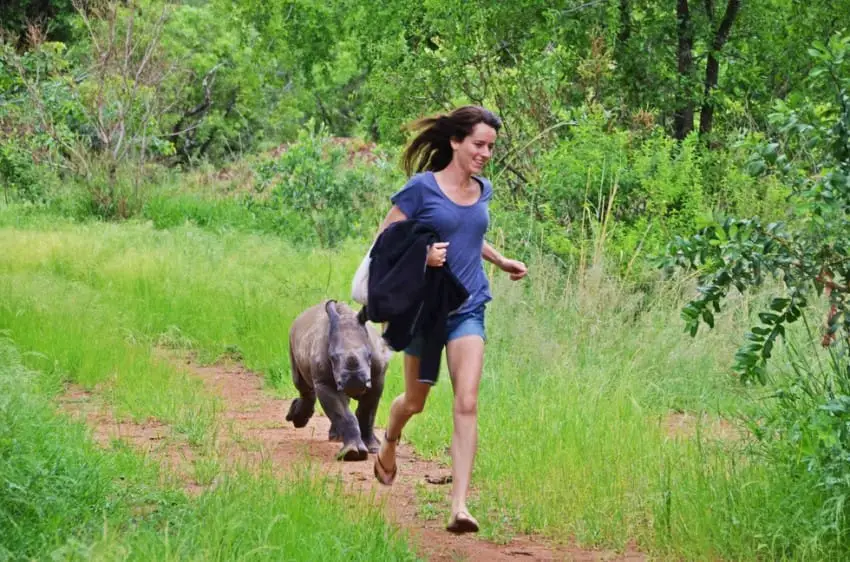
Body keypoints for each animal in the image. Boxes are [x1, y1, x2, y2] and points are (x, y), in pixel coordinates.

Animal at [284, 300, 390, 458]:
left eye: (369, 355)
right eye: (332, 357)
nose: (354, 382)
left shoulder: (377, 378)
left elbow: (368, 412)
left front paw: (373, 448)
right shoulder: (324, 382)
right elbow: (342, 413)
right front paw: (352, 454)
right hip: (293, 338)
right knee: (301, 384)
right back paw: (300, 420)